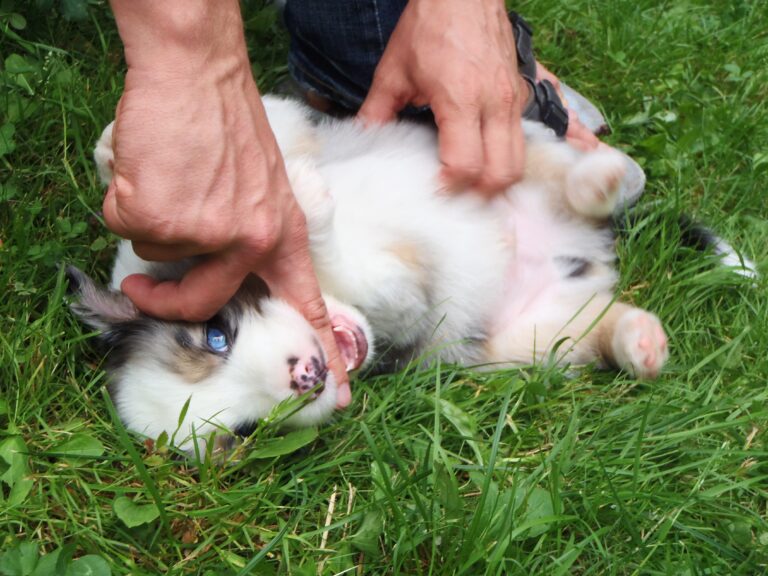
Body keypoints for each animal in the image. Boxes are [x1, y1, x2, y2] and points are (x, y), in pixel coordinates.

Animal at [70, 95, 744, 454]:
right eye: (247, 428)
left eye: (217, 334)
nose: (307, 377)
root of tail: (587, 252)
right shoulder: (408, 308)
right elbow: (352, 264)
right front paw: (309, 213)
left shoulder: (289, 130)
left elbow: (261, 139)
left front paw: (126, 151)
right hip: (540, 337)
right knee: (605, 323)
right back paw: (642, 344)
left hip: (501, 149)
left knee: (573, 176)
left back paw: (603, 175)